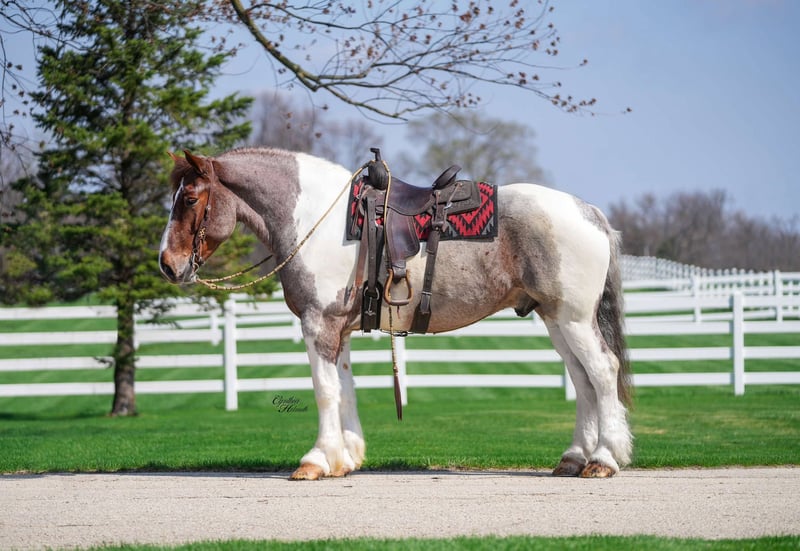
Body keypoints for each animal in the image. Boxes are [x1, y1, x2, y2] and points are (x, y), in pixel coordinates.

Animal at [158, 147, 633, 480]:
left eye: (190, 199)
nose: (167, 264)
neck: (315, 219)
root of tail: (589, 212)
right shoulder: (339, 331)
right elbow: (345, 389)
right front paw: (346, 458)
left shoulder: (318, 325)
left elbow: (324, 392)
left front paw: (315, 461)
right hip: (556, 320)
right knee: (583, 382)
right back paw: (574, 458)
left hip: (573, 320)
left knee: (603, 372)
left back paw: (604, 459)